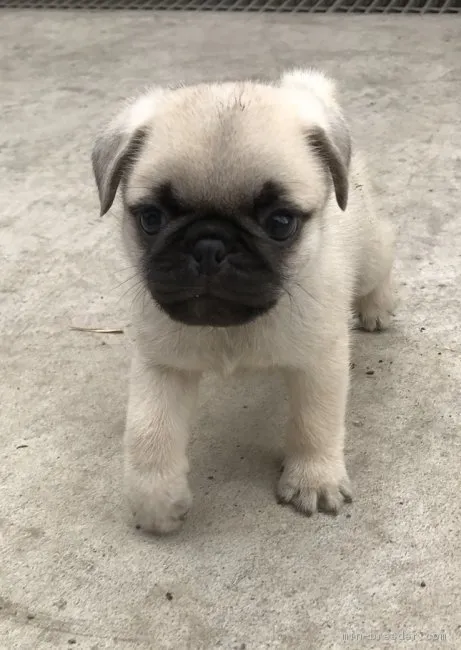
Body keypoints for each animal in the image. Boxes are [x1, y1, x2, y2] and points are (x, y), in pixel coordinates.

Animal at [92, 69, 392, 532]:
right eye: (151, 219)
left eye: (281, 223)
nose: (209, 246)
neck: (230, 330)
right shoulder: (161, 365)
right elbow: (149, 431)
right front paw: (155, 501)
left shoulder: (319, 361)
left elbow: (315, 422)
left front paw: (313, 477)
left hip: (373, 254)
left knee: (384, 255)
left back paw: (377, 308)